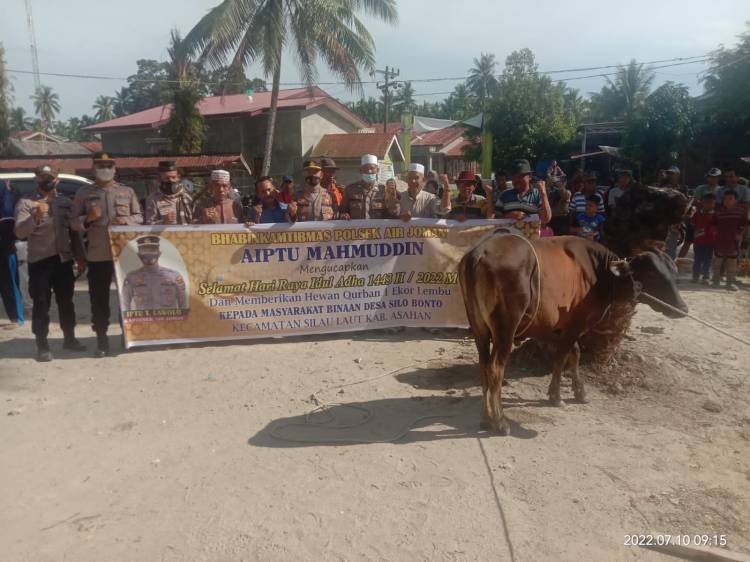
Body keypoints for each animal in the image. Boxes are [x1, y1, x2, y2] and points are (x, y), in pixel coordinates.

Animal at [456, 232, 692, 434]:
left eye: (674, 272)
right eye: (652, 273)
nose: (682, 308)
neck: (599, 272)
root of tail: (478, 253)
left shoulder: (555, 328)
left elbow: (573, 354)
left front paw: (577, 392)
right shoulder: (575, 325)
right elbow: (563, 357)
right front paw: (557, 395)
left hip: (480, 330)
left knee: (484, 366)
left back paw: (486, 418)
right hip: (505, 330)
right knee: (495, 368)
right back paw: (499, 420)